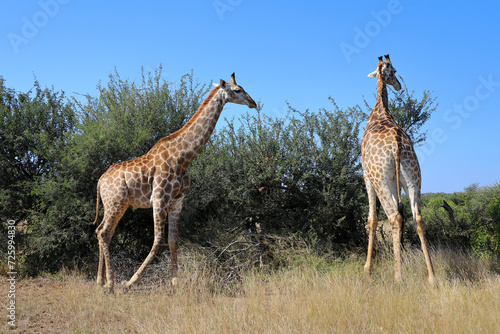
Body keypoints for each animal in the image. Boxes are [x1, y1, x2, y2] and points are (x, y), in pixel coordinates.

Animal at [93, 72, 258, 290]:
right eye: (238, 90)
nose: (253, 102)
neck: (183, 157)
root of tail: (100, 181)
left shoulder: (177, 201)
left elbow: (173, 241)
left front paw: (175, 281)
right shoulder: (159, 199)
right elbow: (158, 241)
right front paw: (129, 282)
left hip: (116, 204)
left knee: (102, 231)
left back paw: (100, 280)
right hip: (116, 202)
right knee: (104, 233)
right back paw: (111, 282)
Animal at [362, 55, 436, 284]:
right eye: (394, 71)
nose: (398, 85)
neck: (380, 112)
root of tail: (396, 142)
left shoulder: (366, 175)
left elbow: (372, 219)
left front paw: (367, 268)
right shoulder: (395, 182)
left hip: (380, 179)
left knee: (394, 216)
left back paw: (398, 276)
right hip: (413, 175)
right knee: (417, 218)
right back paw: (432, 277)